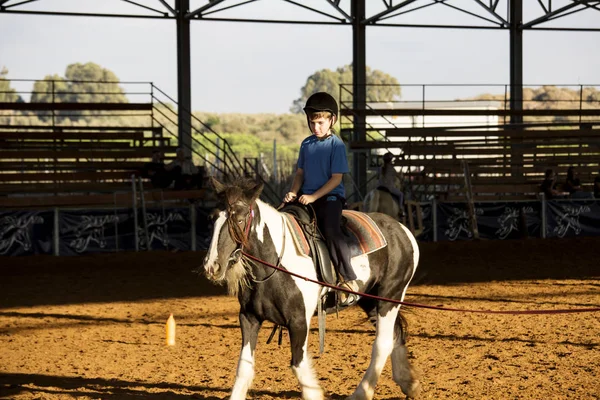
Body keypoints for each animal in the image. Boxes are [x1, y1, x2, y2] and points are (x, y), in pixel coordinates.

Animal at [202, 179, 422, 400]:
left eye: (239, 219)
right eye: (212, 219)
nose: (212, 266)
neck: (274, 264)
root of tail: (402, 230)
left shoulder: (298, 321)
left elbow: (298, 365)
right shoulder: (249, 318)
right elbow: (244, 367)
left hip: (390, 296)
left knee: (382, 343)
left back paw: (362, 392)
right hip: (370, 300)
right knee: (394, 334)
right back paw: (408, 383)